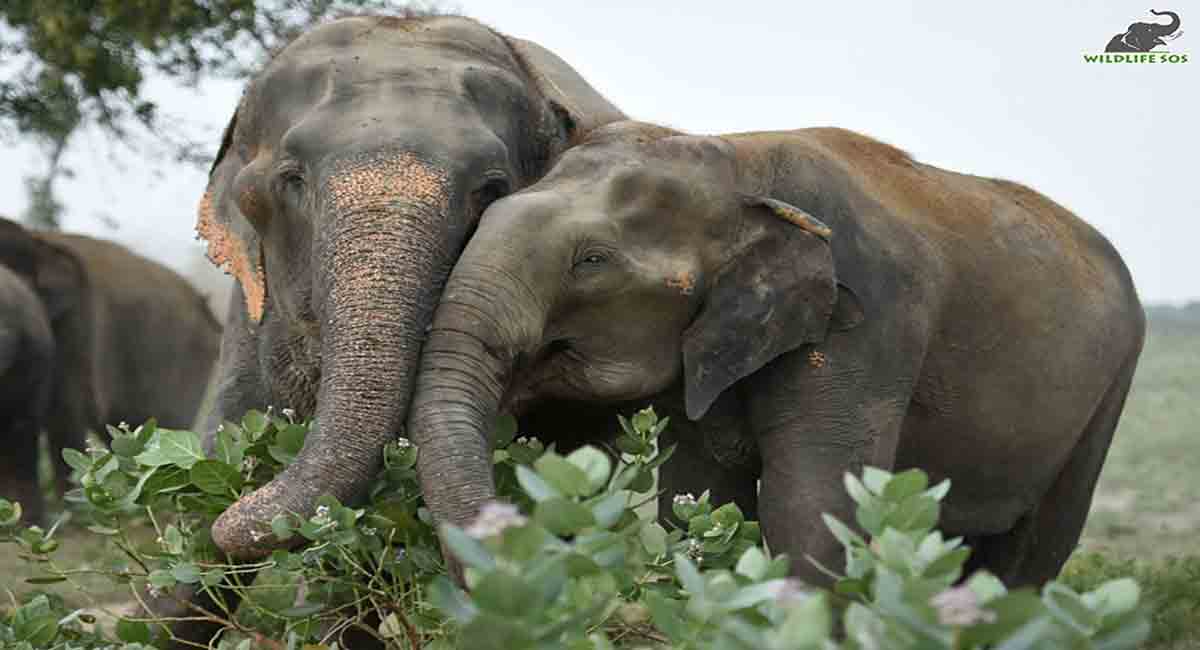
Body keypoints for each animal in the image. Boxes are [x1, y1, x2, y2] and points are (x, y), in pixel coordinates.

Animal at [406, 121, 1146, 589]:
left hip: (1110, 390)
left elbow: (811, 509)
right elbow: (702, 496)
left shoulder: (866, 325)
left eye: (591, 261)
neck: (737, 160)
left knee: (1032, 556)